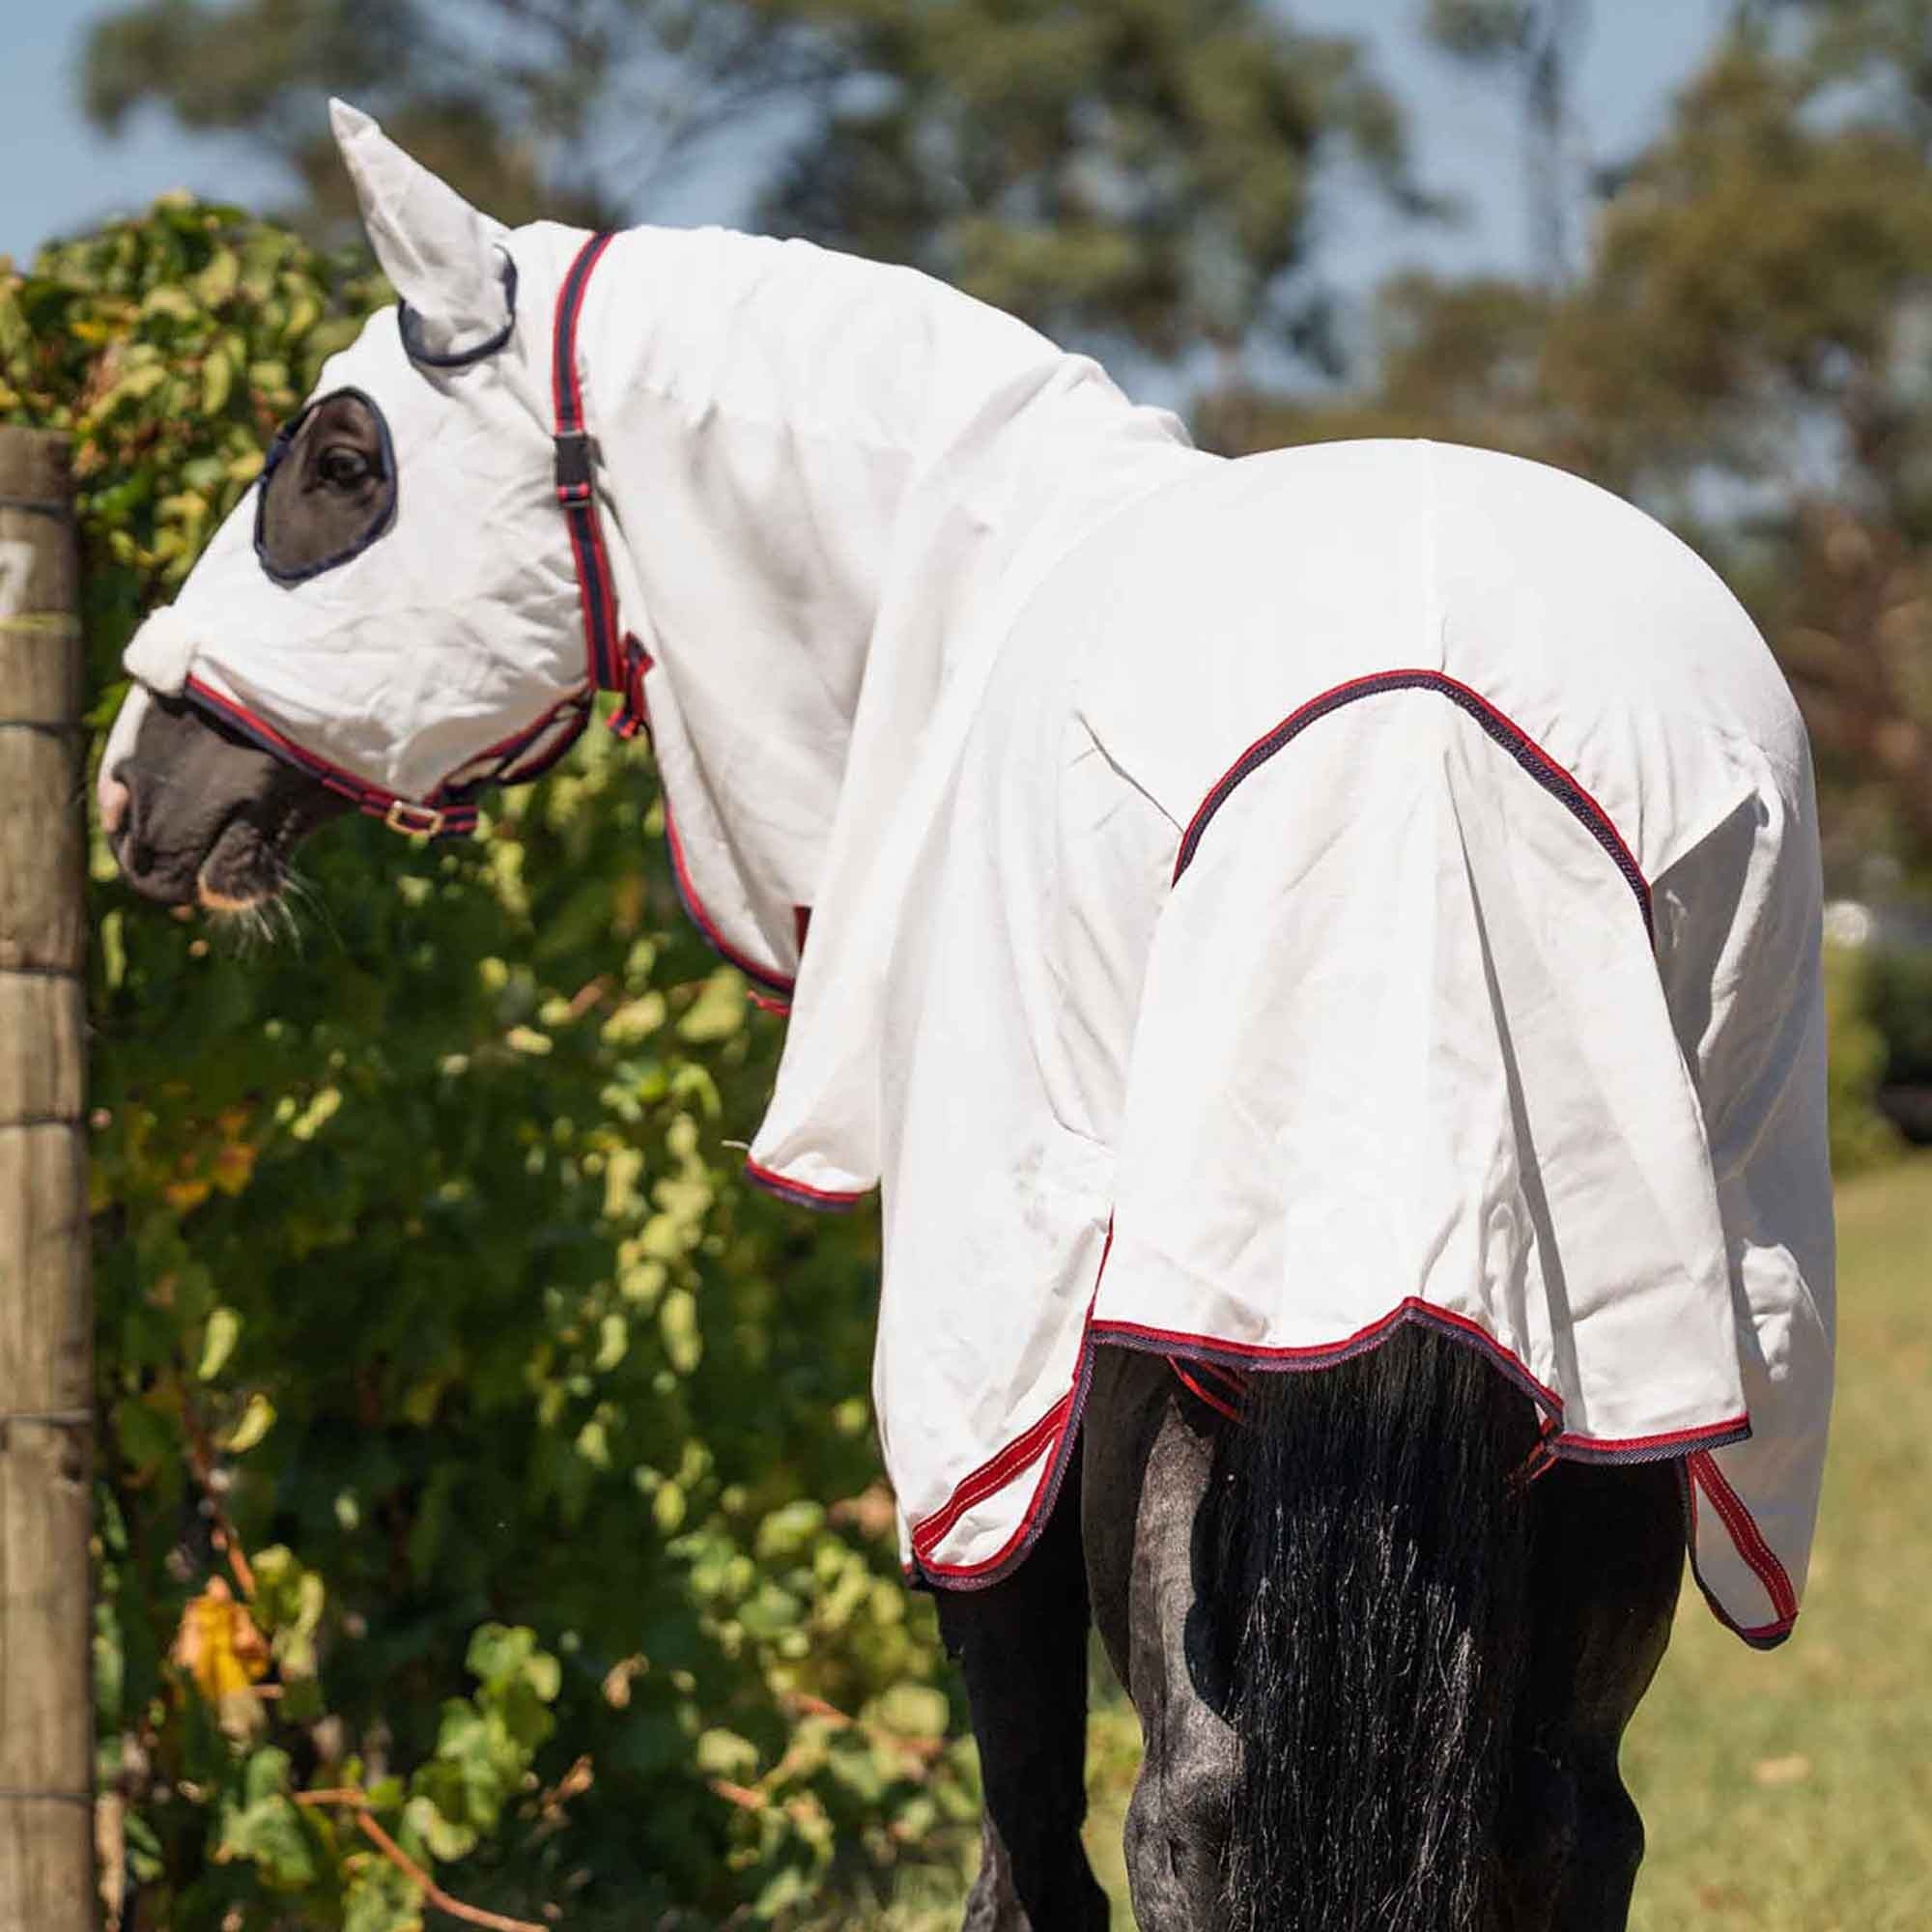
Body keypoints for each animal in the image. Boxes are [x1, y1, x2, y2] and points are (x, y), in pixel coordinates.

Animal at [100, 103, 1835, 1932]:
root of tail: (1424, 726)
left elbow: (1025, 1816)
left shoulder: (984, 1418)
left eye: (338, 465)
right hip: (1620, 1406)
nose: (139, 788)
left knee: (1192, 1805)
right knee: (1563, 1818)